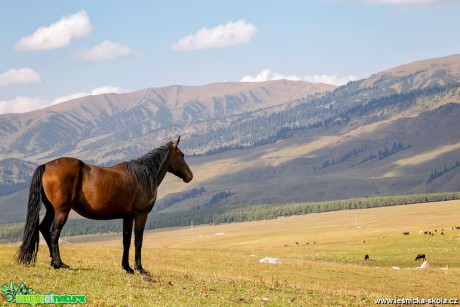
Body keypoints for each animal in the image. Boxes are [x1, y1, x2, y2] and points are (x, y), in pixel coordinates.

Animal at [16, 137, 192, 276]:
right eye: (181, 155)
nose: (190, 176)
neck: (142, 176)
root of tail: (46, 165)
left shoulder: (127, 217)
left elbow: (126, 241)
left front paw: (127, 267)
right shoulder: (141, 215)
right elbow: (138, 241)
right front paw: (140, 269)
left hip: (52, 210)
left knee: (44, 229)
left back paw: (54, 262)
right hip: (62, 211)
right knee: (54, 233)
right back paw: (60, 263)